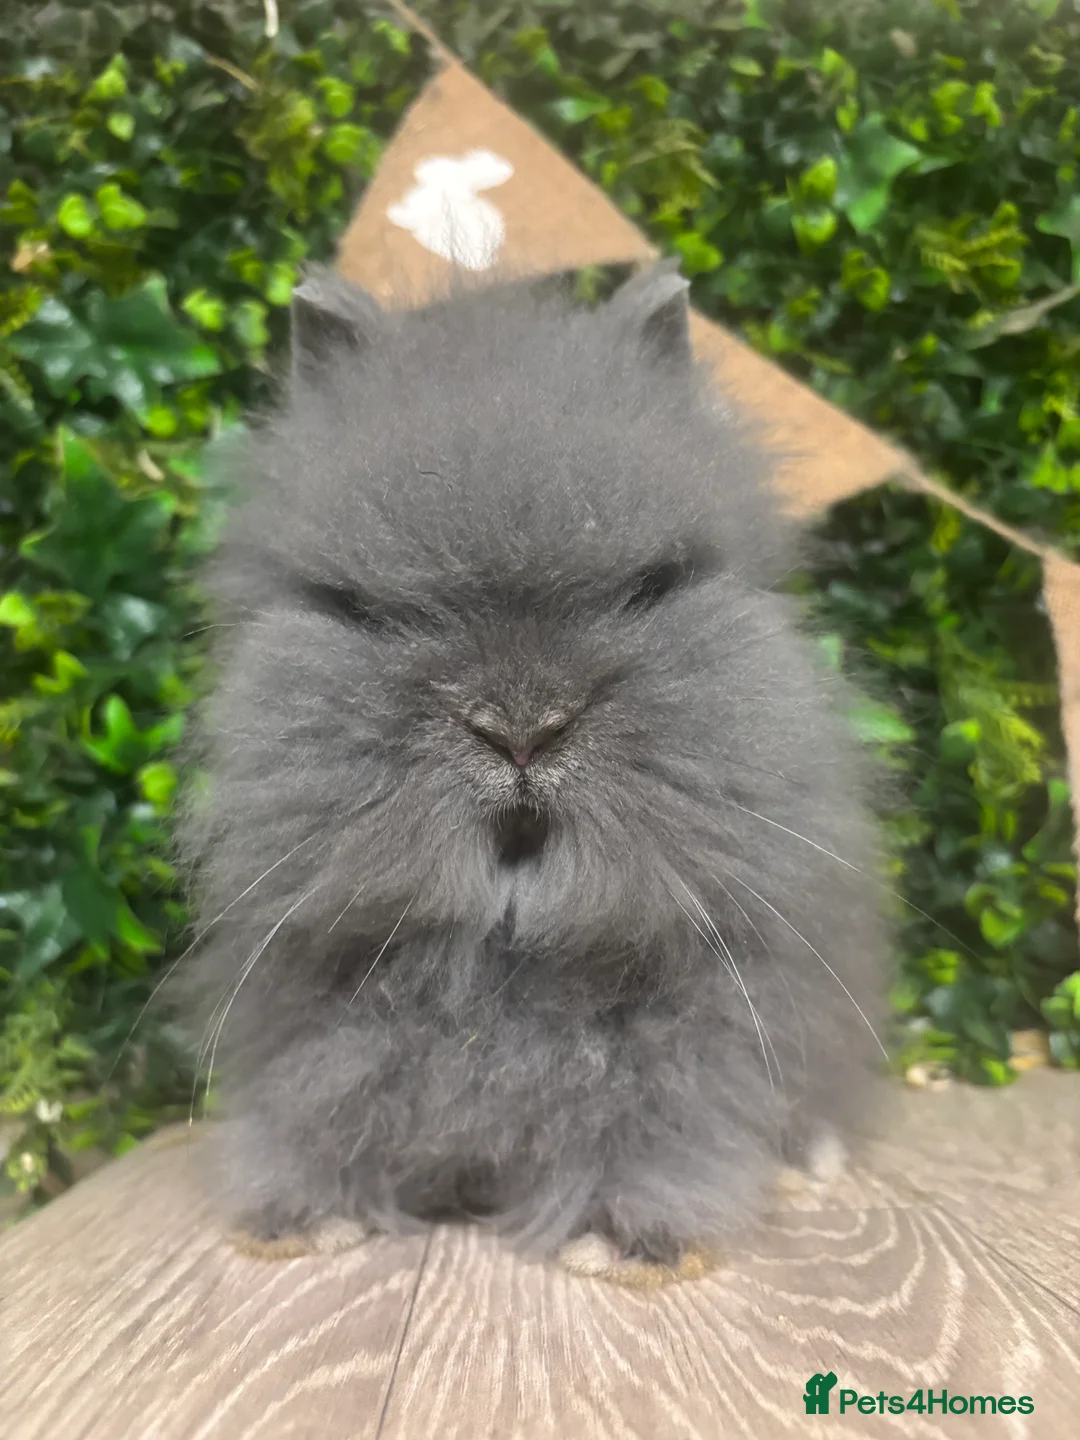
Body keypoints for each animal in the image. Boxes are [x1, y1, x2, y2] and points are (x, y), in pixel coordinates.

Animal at [176, 259, 888, 1283]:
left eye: (649, 588)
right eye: (363, 610)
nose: (520, 730)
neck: (505, 953)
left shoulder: (694, 1046)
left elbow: (662, 1122)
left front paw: (624, 1244)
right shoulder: (312, 1030)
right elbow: (317, 1108)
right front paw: (306, 1221)